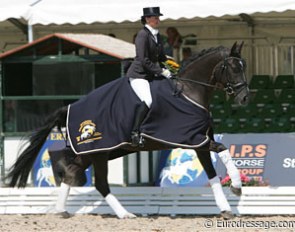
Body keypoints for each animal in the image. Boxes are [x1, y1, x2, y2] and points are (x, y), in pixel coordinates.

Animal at [5, 41, 250, 219]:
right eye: (233, 68)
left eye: (244, 67)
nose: (244, 98)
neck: (189, 91)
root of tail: (70, 106)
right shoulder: (194, 139)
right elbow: (223, 150)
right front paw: (237, 187)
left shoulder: (199, 142)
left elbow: (214, 172)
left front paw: (227, 207)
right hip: (99, 152)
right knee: (100, 183)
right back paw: (125, 214)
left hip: (93, 152)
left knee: (72, 172)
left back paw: (61, 211)